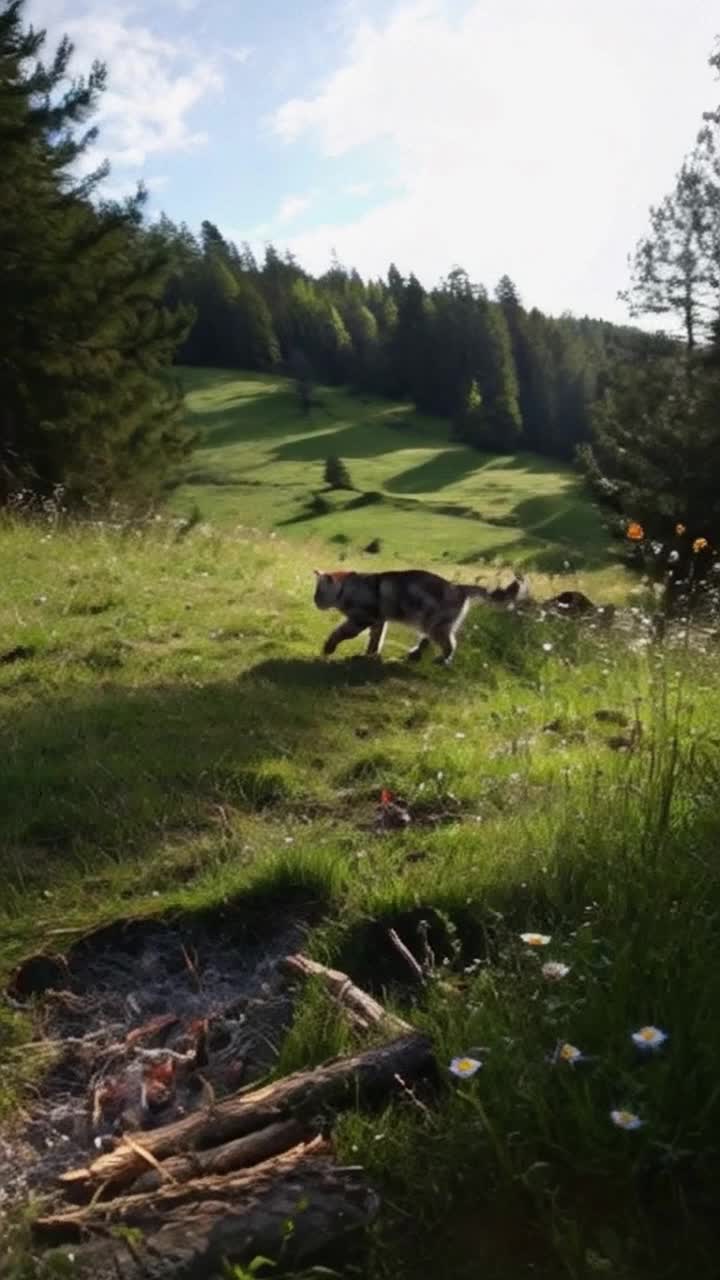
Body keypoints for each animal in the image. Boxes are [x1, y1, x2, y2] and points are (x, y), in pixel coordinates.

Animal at [313, 568, 527, 665]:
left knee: (450, 645)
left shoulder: (361, 619)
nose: (314, 601)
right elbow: (375, 640)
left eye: (319, 593)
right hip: (431, 624)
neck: (347, 588)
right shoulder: (379, 621)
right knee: (429, 641)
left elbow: (339, 633)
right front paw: (369, 655)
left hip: (436, 625)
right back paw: (415, 654)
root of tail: (458, 587)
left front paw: (328, 648)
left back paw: (441, 660)